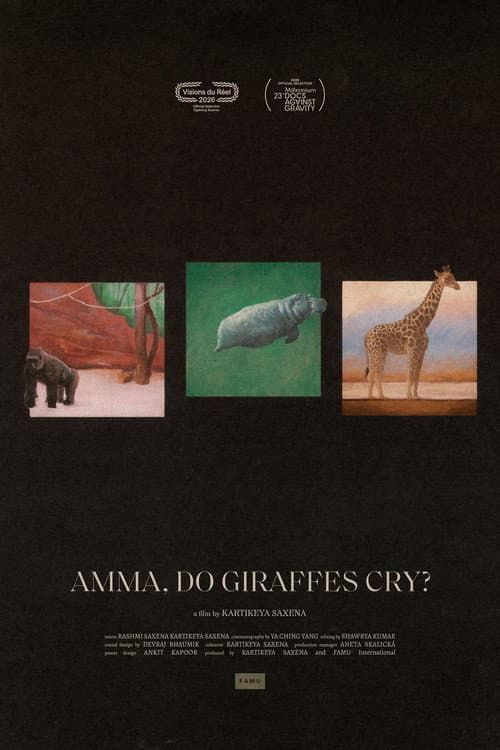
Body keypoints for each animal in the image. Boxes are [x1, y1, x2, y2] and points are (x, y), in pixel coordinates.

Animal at [364, 266, 460, 399]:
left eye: (453, 276)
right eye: (446, 278)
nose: (457, 286)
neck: (423, 324)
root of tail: (367, 335)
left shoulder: (421, 352)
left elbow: (417, 375)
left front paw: (416, 396)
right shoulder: (412, 350)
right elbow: (410, 374)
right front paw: (408, 396)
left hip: (375, 352)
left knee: (371, 374)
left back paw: (371, 397)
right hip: (379, 352)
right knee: (377, 373)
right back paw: (381, 396)